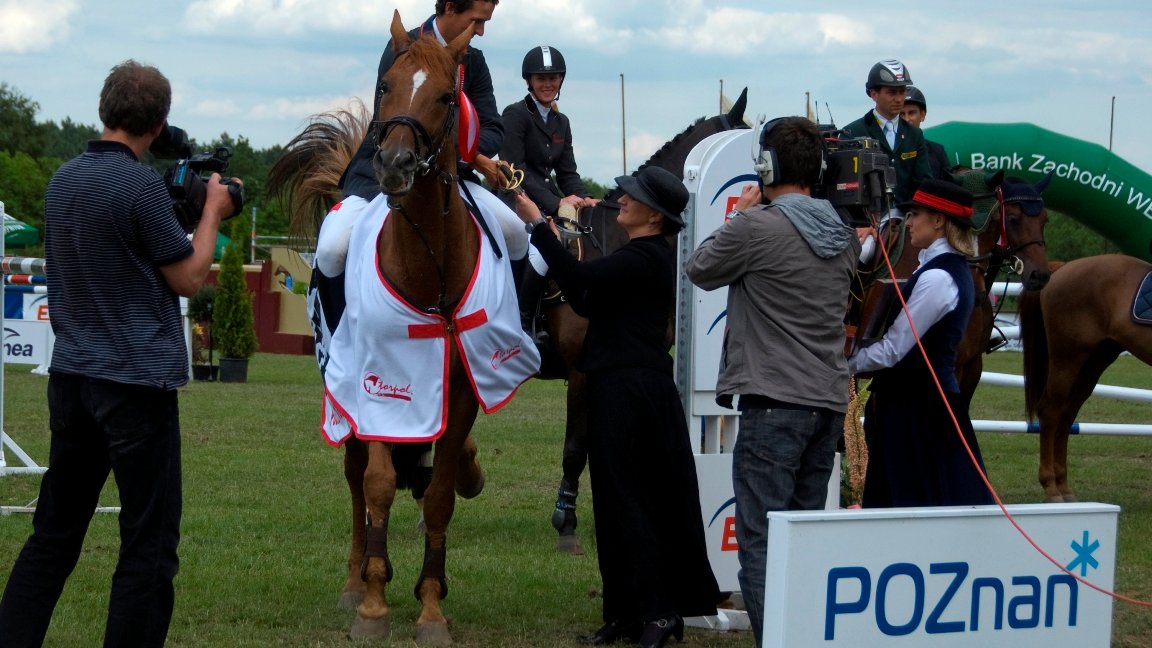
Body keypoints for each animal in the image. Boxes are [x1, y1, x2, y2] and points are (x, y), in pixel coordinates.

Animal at [271, 13, 502, 641]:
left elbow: (440, 495)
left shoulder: (459, 394)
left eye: (448, 96)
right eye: (385, 87)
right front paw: (373, 603)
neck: (427, 270)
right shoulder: (374, 387)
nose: (394, 164)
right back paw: (357, 579)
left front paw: (431, 606)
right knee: (357, 478)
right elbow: (375, 484)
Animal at [1018, 252, 1152, 500]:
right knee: (1050, 412)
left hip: (1094, 362)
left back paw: (1063, 486)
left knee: (1066, 415)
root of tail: (1062, 268)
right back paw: (1051, 488)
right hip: (1068, 358)